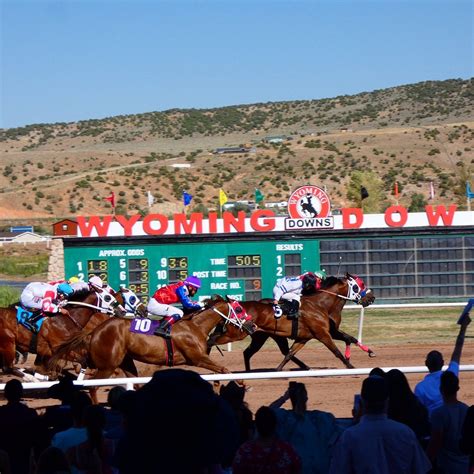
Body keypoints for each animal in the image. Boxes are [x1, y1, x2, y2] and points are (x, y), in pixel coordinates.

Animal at [209, 274, 376, 370]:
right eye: (358, 285)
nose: (372, 297)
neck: (320, 304)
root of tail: (230, 305)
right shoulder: (323, 334)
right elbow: (336, 351)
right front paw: (350, 365)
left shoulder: (306, 337)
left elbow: (289, 354)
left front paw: (370, 352)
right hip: (236, 334)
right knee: (212, 340)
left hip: (261, 336)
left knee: (248, 352)